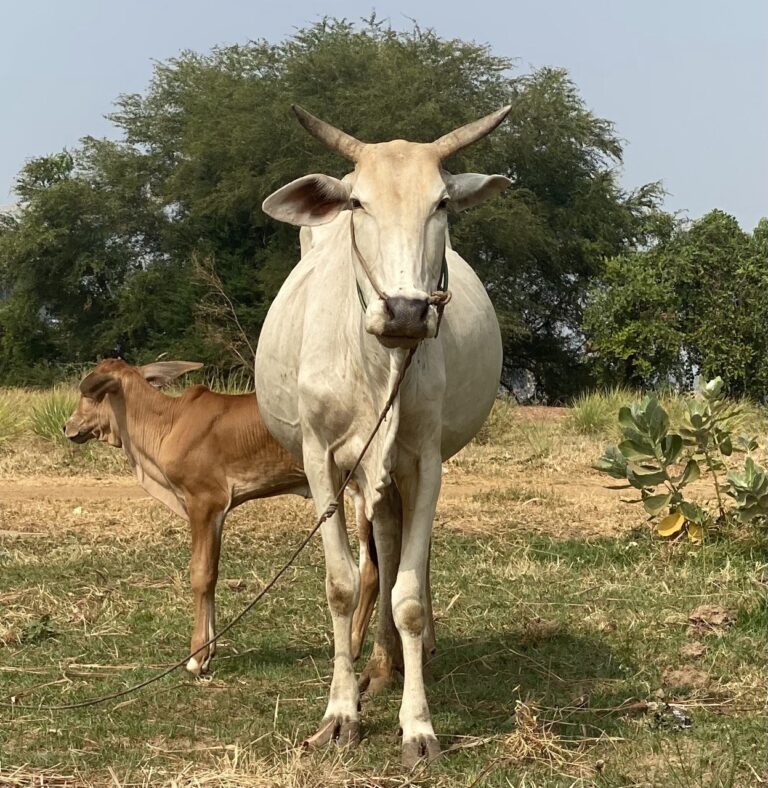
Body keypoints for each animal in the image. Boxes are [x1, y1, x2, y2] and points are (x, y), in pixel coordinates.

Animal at [258, 107, 510, 768]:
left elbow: (410, 595)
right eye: (357, 202)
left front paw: (417, 726)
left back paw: (395, 661)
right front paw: (340, 713)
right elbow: (343, 585)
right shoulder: (322, 461)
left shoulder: (424, 461)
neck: (378, 360)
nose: (404, 311)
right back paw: (372, 668)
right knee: (378, 554)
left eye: (442, 202)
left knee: (397, 558)